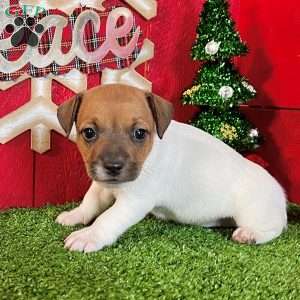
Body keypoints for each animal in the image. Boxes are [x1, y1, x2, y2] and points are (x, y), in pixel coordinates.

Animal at [55, 84, 288, 253]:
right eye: (89, 133)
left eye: (139, 133)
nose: (113, 167)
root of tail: (280, 194)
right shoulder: (101, 186)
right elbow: (90, 202)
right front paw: (75, 215)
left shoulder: (135, 201)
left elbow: (108, 218)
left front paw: (89, 235)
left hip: (255, 212)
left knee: (275, 228)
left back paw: (250, 234)